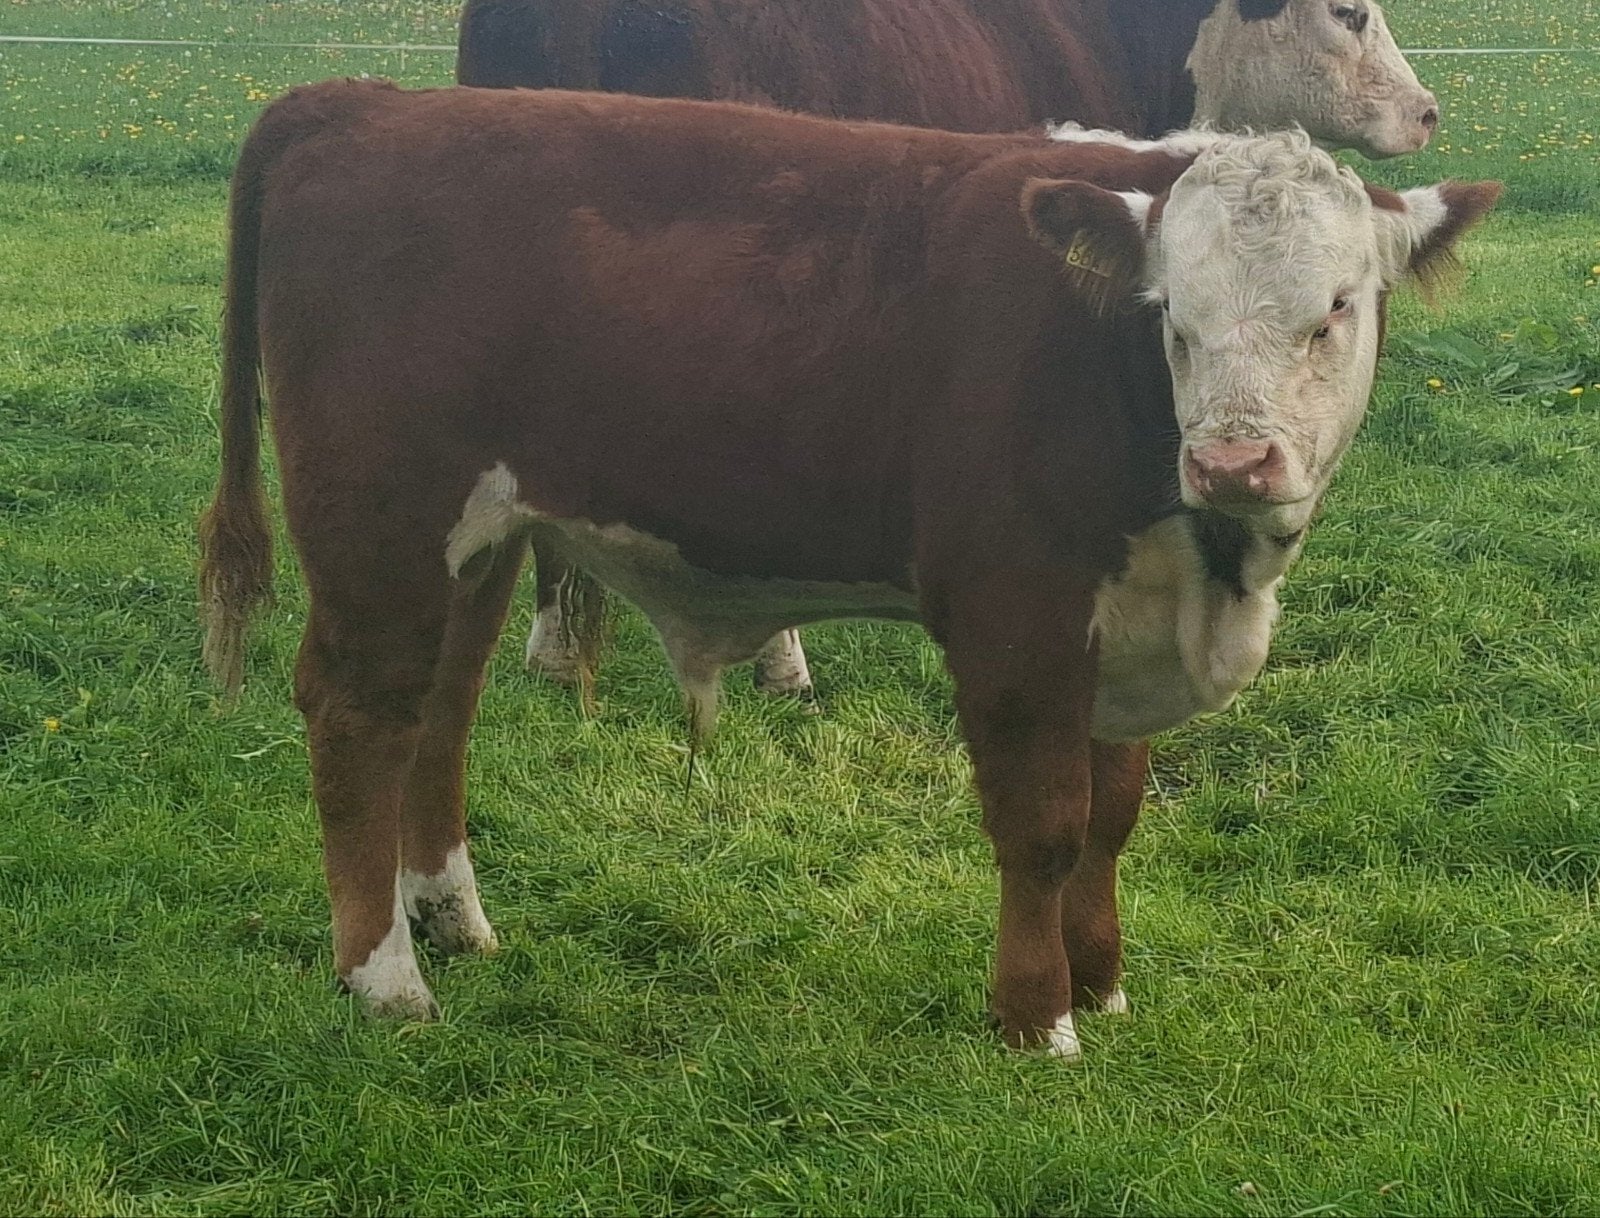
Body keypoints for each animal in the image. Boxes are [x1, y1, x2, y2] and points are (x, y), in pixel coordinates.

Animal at [199, 79, 1496, 1058]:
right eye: (1169, 313)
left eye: (1336, 308)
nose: (1231, 459)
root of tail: (369, 101)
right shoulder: (1012, 610)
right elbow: (1042, 821)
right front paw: (1038, 1020)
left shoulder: (1121, 625)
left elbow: (1111, 816)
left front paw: (1103, 982)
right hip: (381, 524)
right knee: (359, 713)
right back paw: (385, 978)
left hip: (476, 541)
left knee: (439, 712)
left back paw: (452, 921)